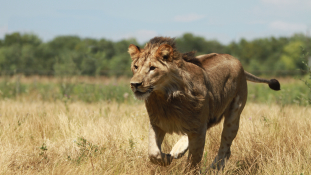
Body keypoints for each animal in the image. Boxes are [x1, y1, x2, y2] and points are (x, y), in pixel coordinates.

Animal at [128, 36, 282, 171]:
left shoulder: (198, 128)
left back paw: (213, 168)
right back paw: (177, 150)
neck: (166, 98)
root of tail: (238, 62)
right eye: (135, 66)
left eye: (152, 68)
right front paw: (166, 158)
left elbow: (194, 160)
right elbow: (153, 153)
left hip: (233, 116)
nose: (134, 84)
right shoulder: (157, 123)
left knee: (225, 149)